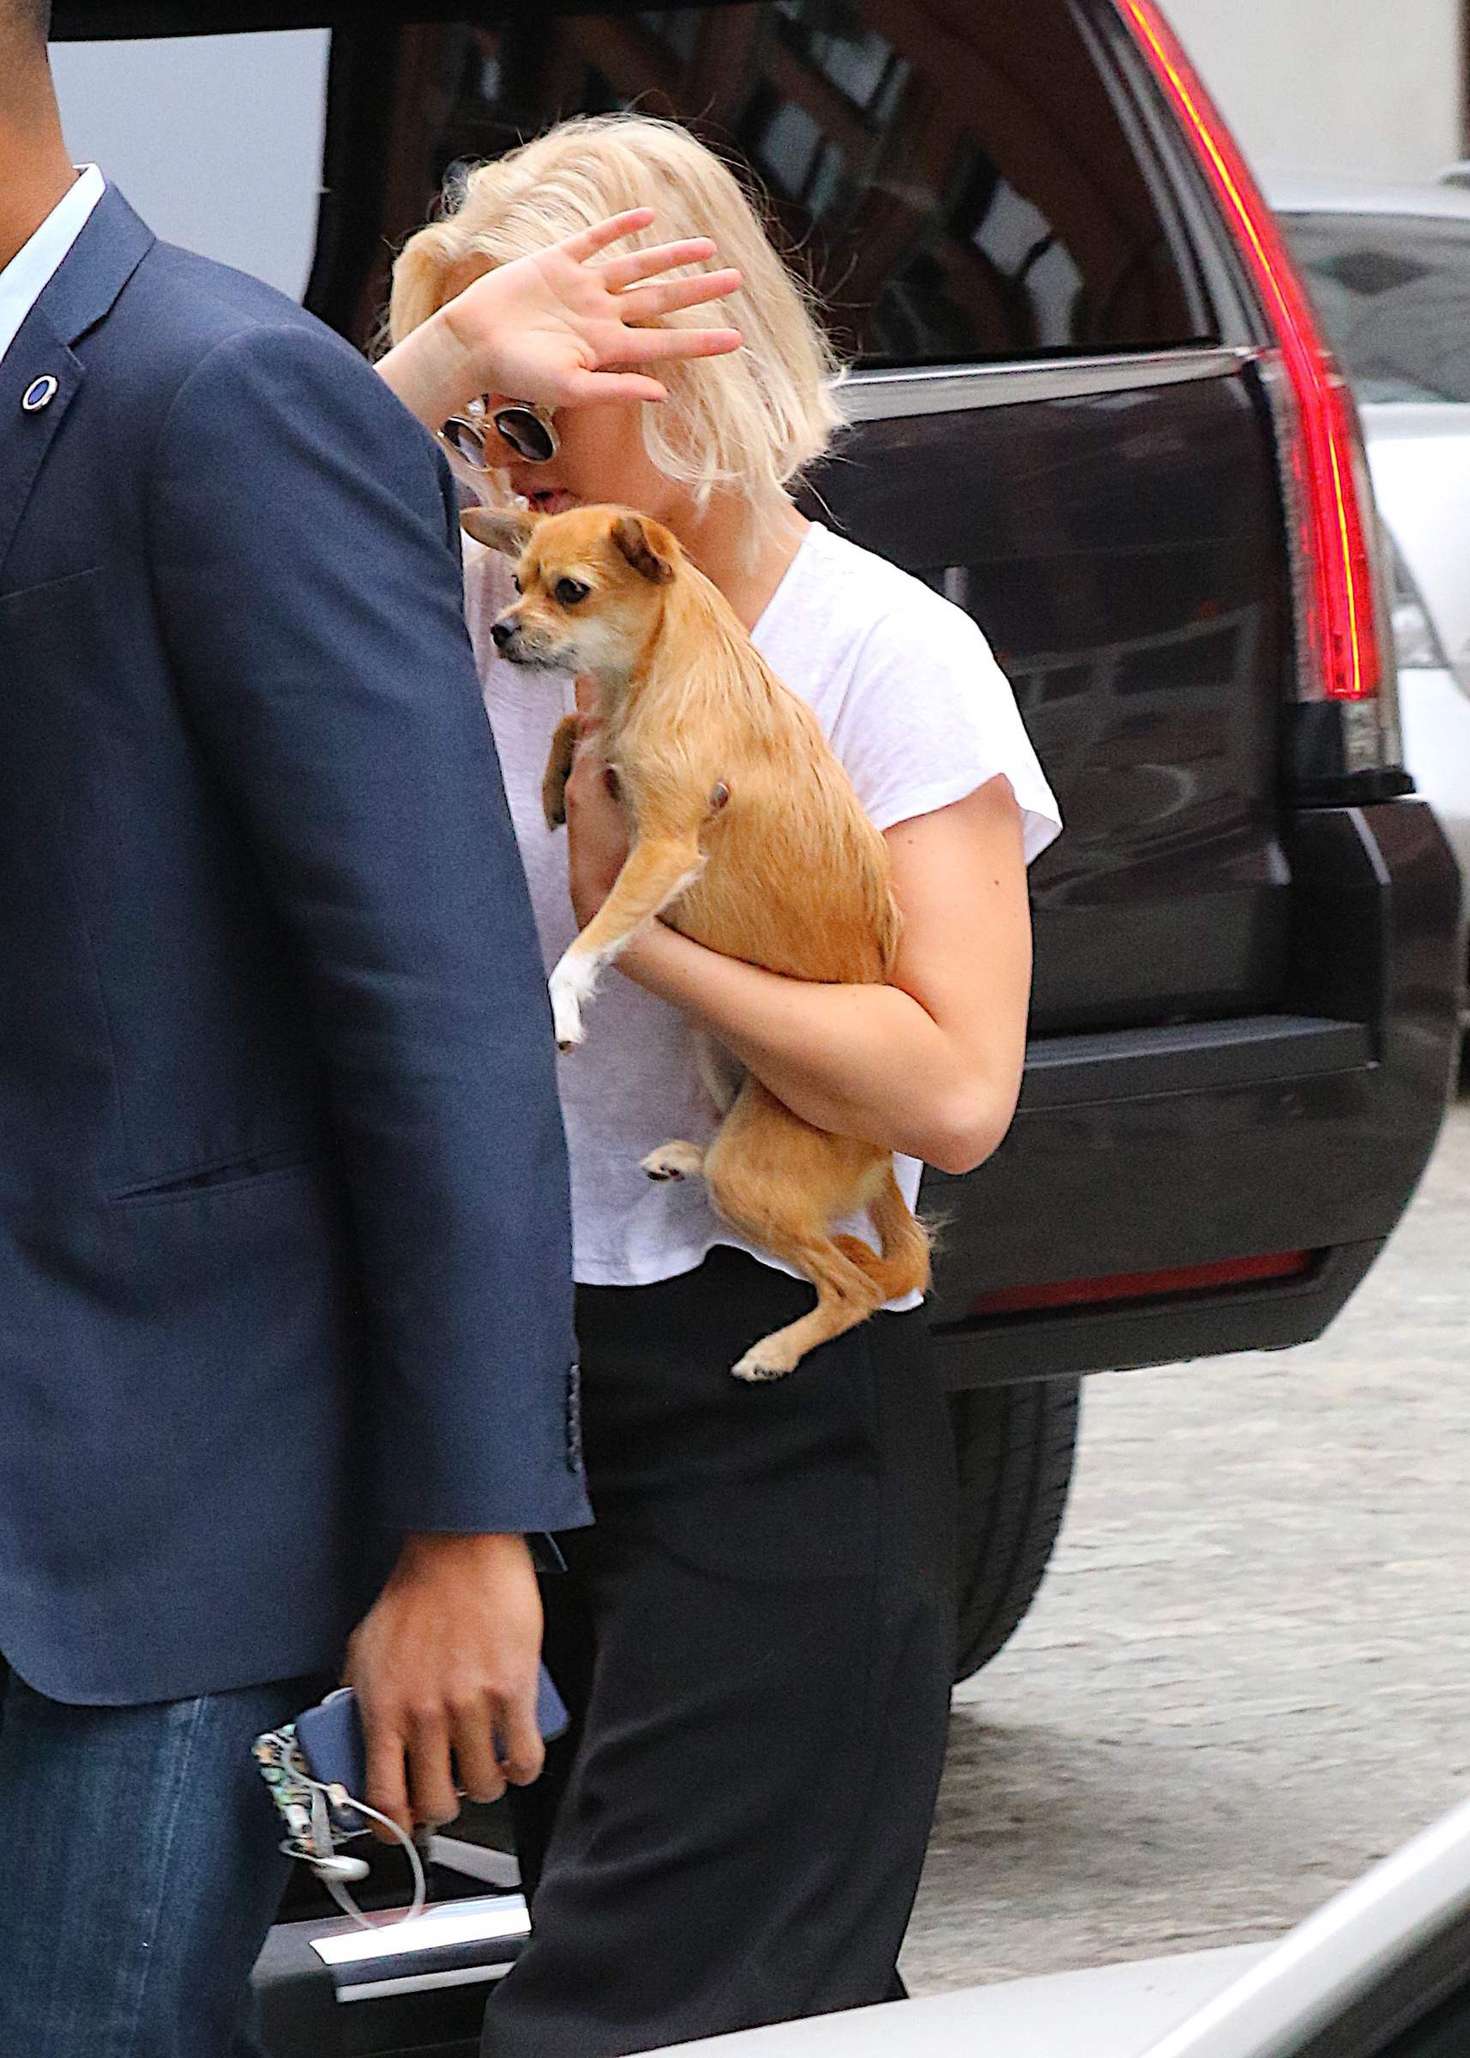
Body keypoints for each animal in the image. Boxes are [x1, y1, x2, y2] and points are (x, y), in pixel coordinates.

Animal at [467, 493, 926, 1382]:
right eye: (515, 583)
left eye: (569, 591)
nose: (501, 628)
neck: (647, 681)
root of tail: (881, 1156)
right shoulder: (606, 738)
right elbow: (574, 721)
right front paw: (553, 787)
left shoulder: (666, 849)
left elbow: (591, 939)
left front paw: (562, 1005)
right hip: (717, 1051)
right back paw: (688, 1156)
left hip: (756, 1178)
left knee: (852, 1283)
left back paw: (777, 1350)